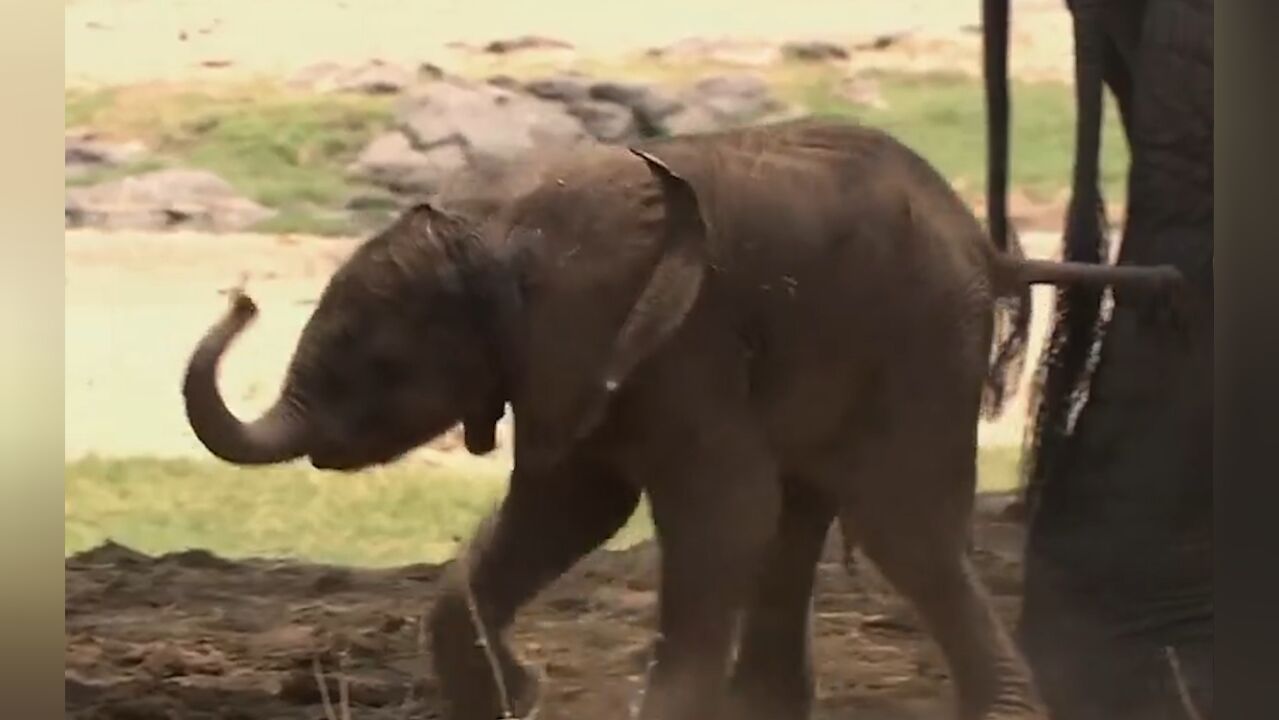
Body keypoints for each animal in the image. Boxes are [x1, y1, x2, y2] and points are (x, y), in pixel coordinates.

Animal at [185, 119, 1181, 720]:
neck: (501, 222)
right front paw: (516, 697)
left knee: (897, 527)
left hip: (923, 338)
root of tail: (986, 243)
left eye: (379, 366)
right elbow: (566, 510)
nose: (241, 296)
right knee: (805, 517)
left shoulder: (677, 343)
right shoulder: (571, 362)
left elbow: (717, 513)